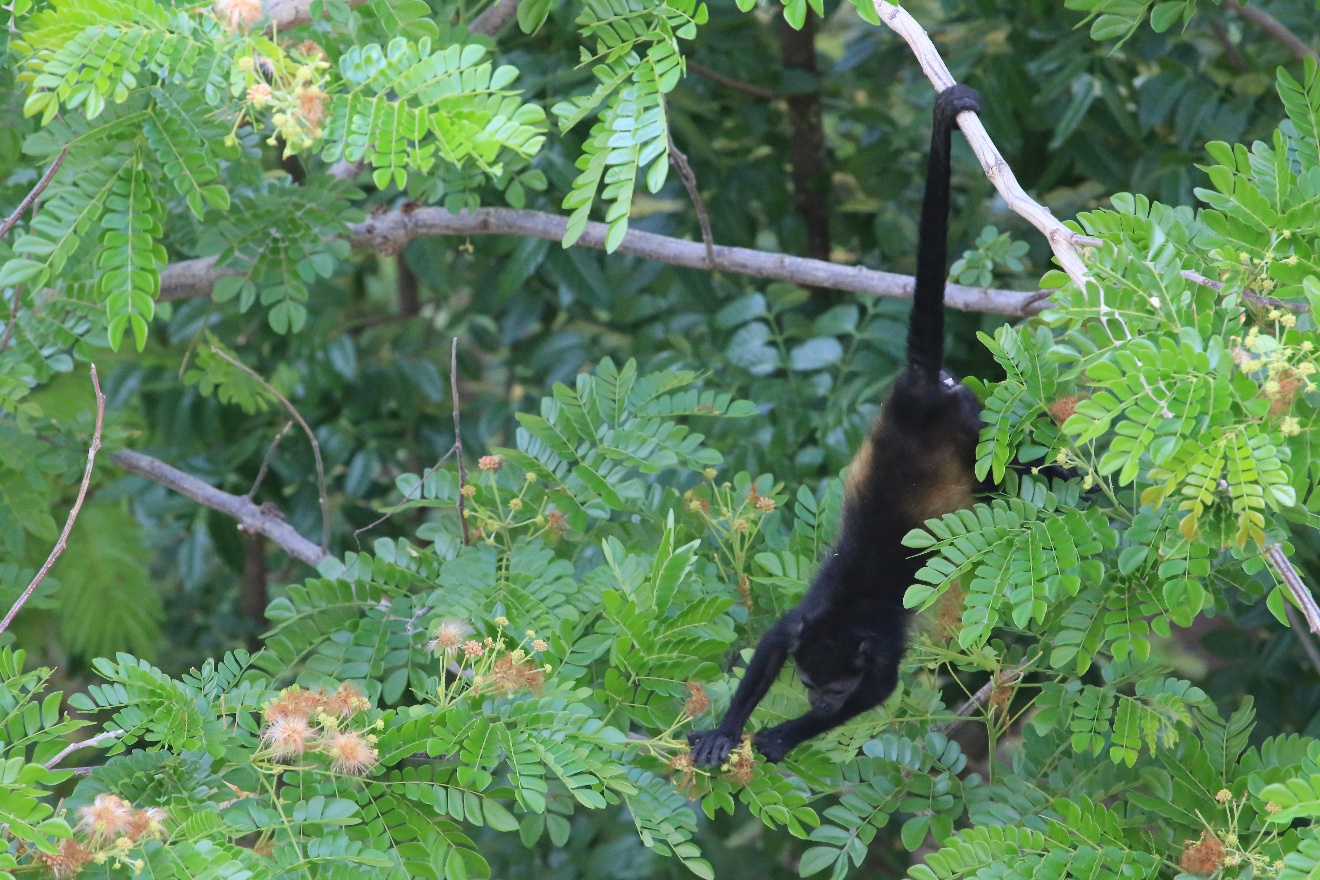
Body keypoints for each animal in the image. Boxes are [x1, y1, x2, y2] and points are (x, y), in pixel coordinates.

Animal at [687, 84, 984, 767]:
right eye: (810, 682)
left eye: (838, 687)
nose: (821, 705)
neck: (846, 618)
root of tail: (918, 396)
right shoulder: (806, 623)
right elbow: (771, 643)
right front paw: (728, 728)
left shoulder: (880, 645)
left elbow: (883, 688)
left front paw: (783, 735)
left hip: (968, 423)